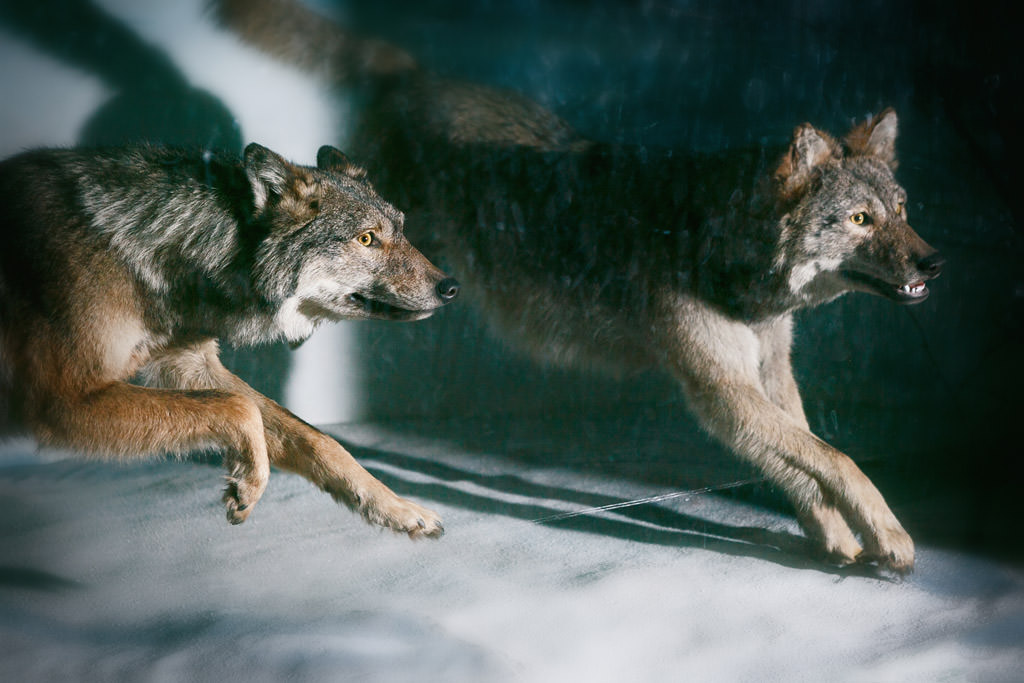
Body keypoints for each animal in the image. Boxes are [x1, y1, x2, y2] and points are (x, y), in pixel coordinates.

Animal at [0, 143, 458, 540]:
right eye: (366, 238)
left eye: (402, 230)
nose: (451, 287)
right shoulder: (63, 400)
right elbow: (239, 408)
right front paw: (248, 484)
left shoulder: (190, 364)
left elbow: (316, 437)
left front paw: (400, 509)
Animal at [220, 0, 946, 573]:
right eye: (861, 220)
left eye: (902, 210)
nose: (936, 263)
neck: (723, 245)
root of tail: (416, 73)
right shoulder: (722, 395)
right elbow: (838, 459)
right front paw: (891, 539)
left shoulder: (767, 377)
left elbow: (807, 462)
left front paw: (838, 544)